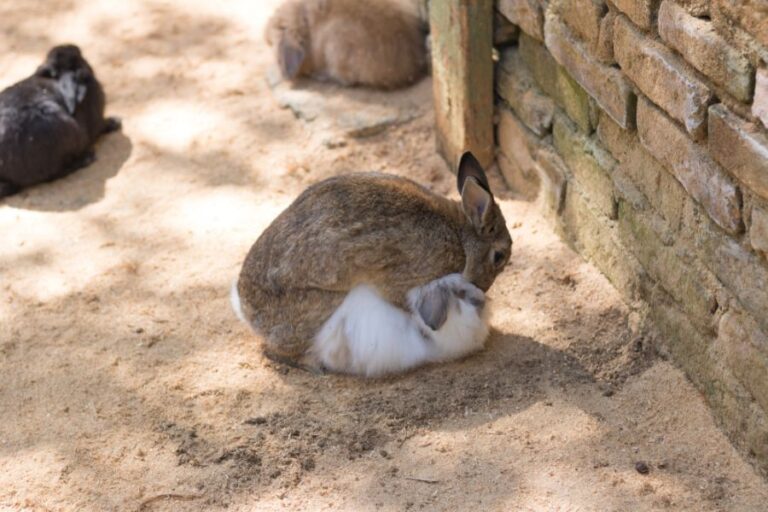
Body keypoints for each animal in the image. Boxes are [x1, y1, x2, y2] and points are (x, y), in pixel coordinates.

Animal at [233, 151, 512, 374]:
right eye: (498, 257)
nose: (482, 287)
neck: (460, 237)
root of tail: (246, 311)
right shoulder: (403, 281)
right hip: (322, 305)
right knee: (275, 350)